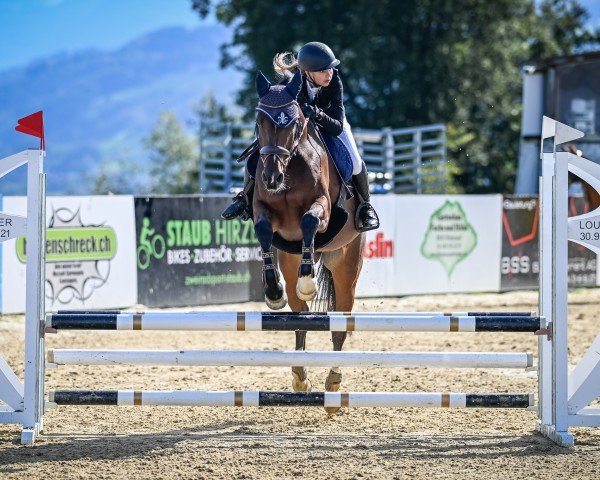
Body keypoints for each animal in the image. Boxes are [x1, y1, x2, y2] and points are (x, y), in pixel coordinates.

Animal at [250, 70, 364, 412]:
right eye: (259, 121)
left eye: (294, 122)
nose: (271, 178)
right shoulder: (263, 210)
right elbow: (263, 231)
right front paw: (273, 291)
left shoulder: (324, 208)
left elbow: (310, 221)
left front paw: (307, 282)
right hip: (289, 259)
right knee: (299, 317)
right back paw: (300, 376)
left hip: (346, 264)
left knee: (340, 322)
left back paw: (334, 382)